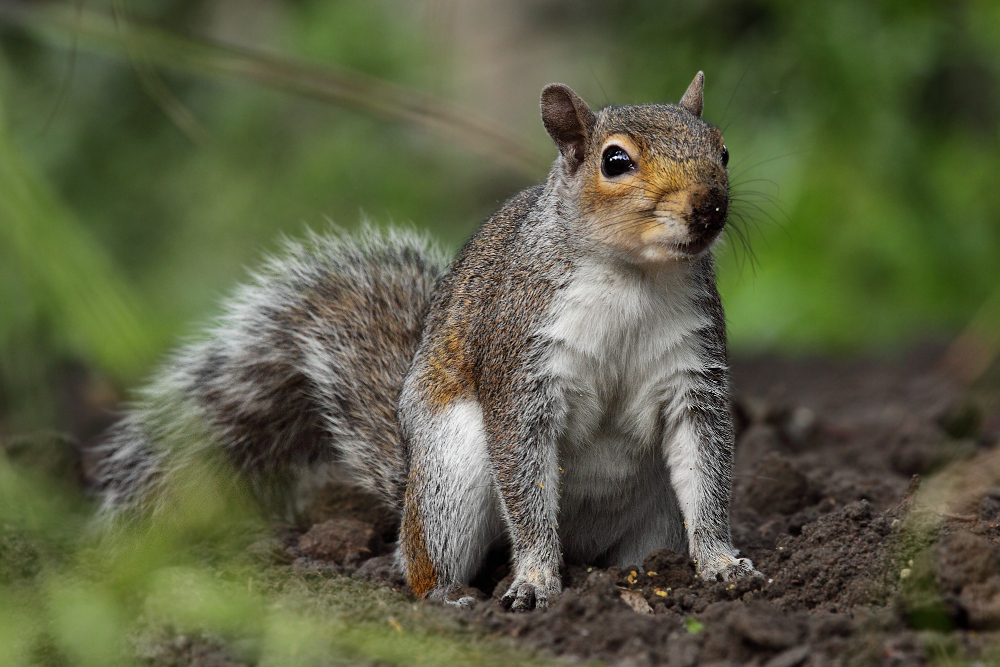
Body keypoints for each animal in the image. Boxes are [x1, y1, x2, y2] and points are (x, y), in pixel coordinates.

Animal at [97, 72, 760, 612]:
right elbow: (526, 484)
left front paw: (723, 564)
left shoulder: (693, 374)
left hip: (655, 514)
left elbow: (708, 472)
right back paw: (448, 593)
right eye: (615, 161)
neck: (633, 277)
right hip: (451, 469)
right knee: (420, 561)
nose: (710, 205)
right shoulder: (519, 365)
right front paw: (535, 580)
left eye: (724, 149)